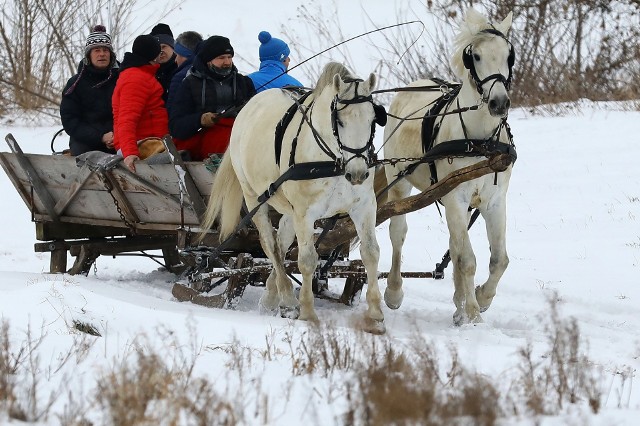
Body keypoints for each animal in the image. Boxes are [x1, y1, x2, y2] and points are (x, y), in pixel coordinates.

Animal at [200, 61, 384, 332]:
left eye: (373, 119)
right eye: (339, 120)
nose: (358, 173)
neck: (331, 161)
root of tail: (251, 104)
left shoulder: (363, 207)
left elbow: (371, 253)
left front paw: (376, 316)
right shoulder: (305, 213)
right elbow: (307, 259)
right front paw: (307, 313)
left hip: (287, 207)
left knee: (281, 242)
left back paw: (272, 295)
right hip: (255, 197)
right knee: (270, 244)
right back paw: (287, 299)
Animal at [384, 8, 516, 324]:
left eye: (509, 55)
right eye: (475, 56)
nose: (499, 103)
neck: (481, 142)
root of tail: (411, 86)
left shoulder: (494, 200)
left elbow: (498, 260)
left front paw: (479, 299)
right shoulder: (456, 197)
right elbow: (467, 260)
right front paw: (473, 314)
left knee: (455, 245)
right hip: (398, 179)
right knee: (398, 232)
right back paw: (393, 292)